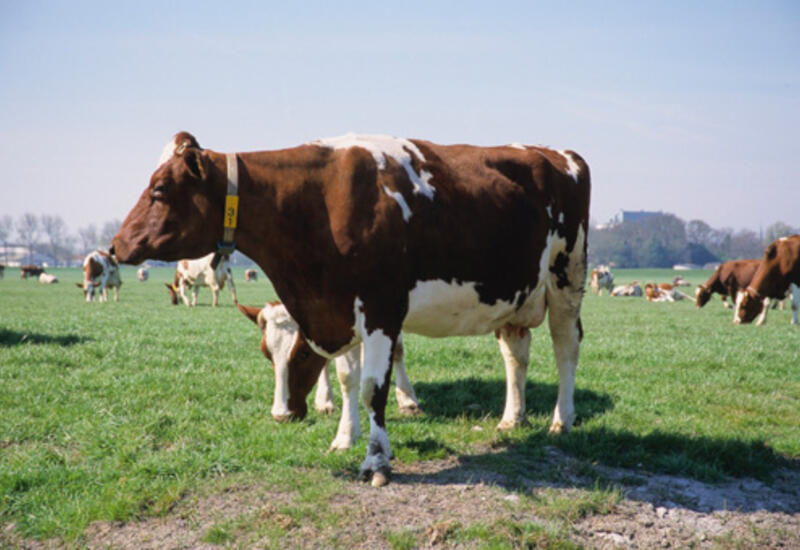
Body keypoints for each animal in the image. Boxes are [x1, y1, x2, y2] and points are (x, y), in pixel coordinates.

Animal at [238, 302, 422, 452]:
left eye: (304, 353)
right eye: (266, 354)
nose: (282, 416)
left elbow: (397, 350)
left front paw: (406, 398)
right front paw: (325, 400)